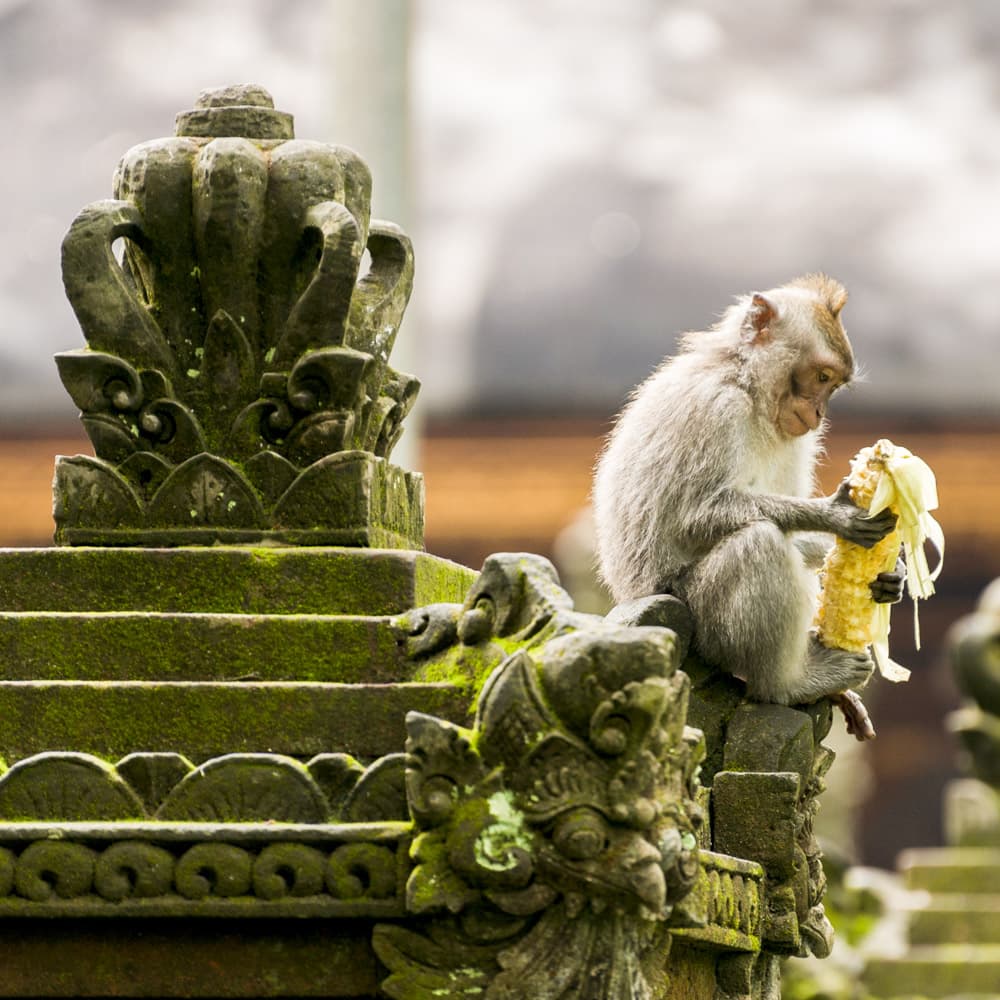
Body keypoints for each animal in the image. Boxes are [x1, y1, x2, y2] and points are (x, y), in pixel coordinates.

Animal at [591, 274, 901, 709]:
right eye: (822, 377)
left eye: (833, 385)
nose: (820, 413)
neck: (750, 389)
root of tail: (629, 597)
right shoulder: (716, 408)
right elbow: (694, 515)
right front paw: (835, 515)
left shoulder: (799, 437)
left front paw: (891, 575)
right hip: (698, 619)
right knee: (759, 544)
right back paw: (787, 684)